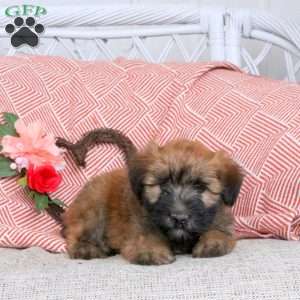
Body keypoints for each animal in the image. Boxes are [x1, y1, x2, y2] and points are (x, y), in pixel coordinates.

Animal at [62, 137, 243, 264]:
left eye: (200, 187)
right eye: (163, 184)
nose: (179, 218)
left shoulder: (220, 221)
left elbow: (219, 232)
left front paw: (212, 243)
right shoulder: (138, 226)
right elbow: (145, 237)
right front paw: (152, 250)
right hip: (93, 207)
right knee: (75, 237)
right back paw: (88, 250)